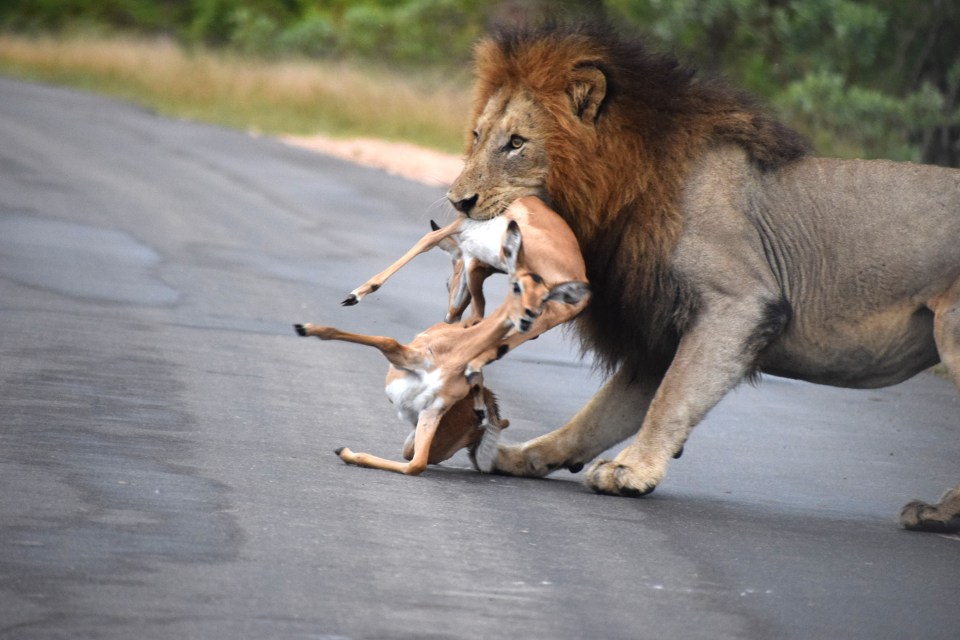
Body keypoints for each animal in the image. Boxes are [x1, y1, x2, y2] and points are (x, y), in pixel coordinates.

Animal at [448, 21, 960, 528]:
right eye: (476, 135)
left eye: (516, 143)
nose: (458, 200)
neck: (622, 193)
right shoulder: (659, 334)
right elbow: (595, 417)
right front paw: (517, 456)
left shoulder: (741, 302)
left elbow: (672, 397)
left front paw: (632, 470)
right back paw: (937, 513)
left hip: (951, 331)